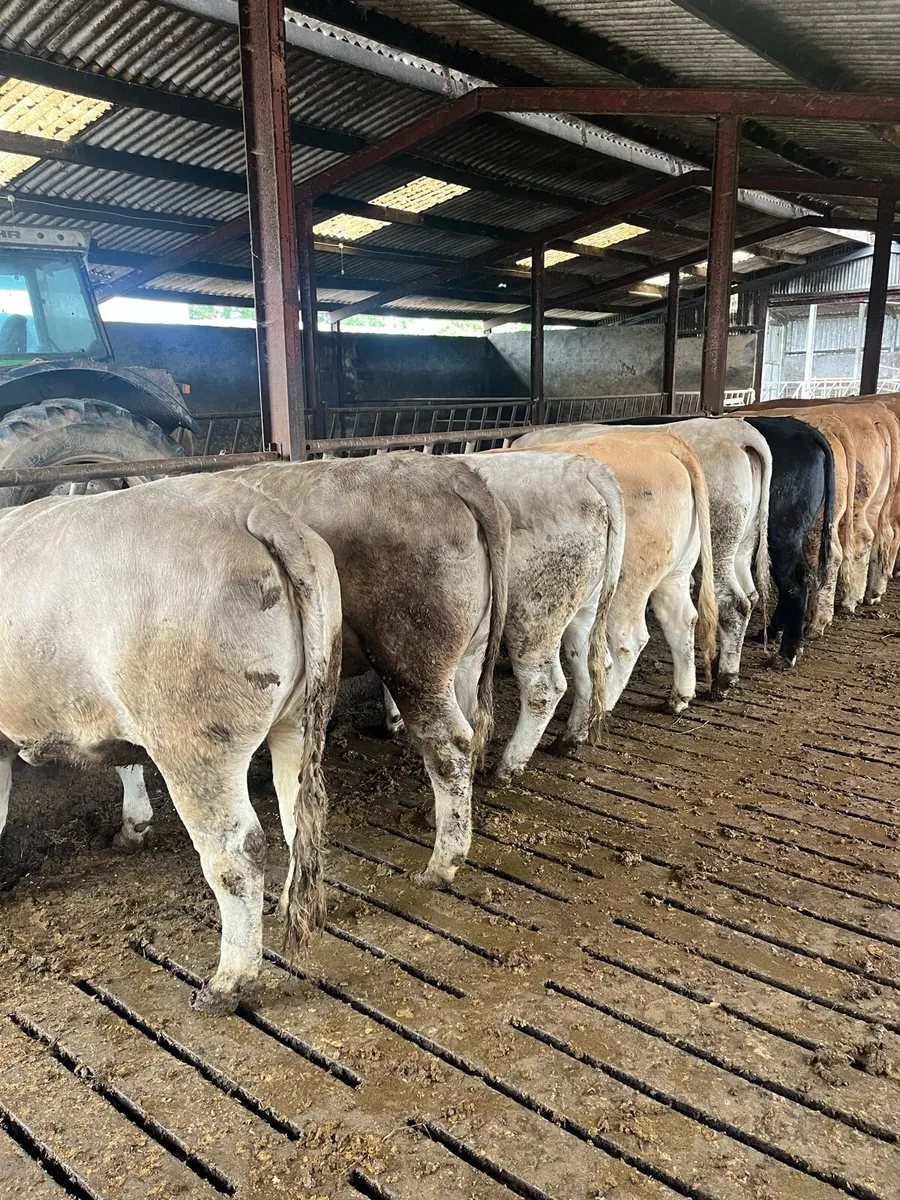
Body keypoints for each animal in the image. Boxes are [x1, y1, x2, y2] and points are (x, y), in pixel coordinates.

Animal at [0, 471, 342, 1014]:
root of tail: (252, 508)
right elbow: (125, 762)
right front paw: (132, 827)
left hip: (192, 738)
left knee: (236, 851)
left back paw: (227, 983)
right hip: (300, 719)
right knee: (299, 815)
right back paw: (293, 903)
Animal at [516, 417, 771, 697]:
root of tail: (737, 429)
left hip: (712, 546)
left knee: (732, 602)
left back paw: (723, 680)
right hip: (740, 542)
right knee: (738, 598)